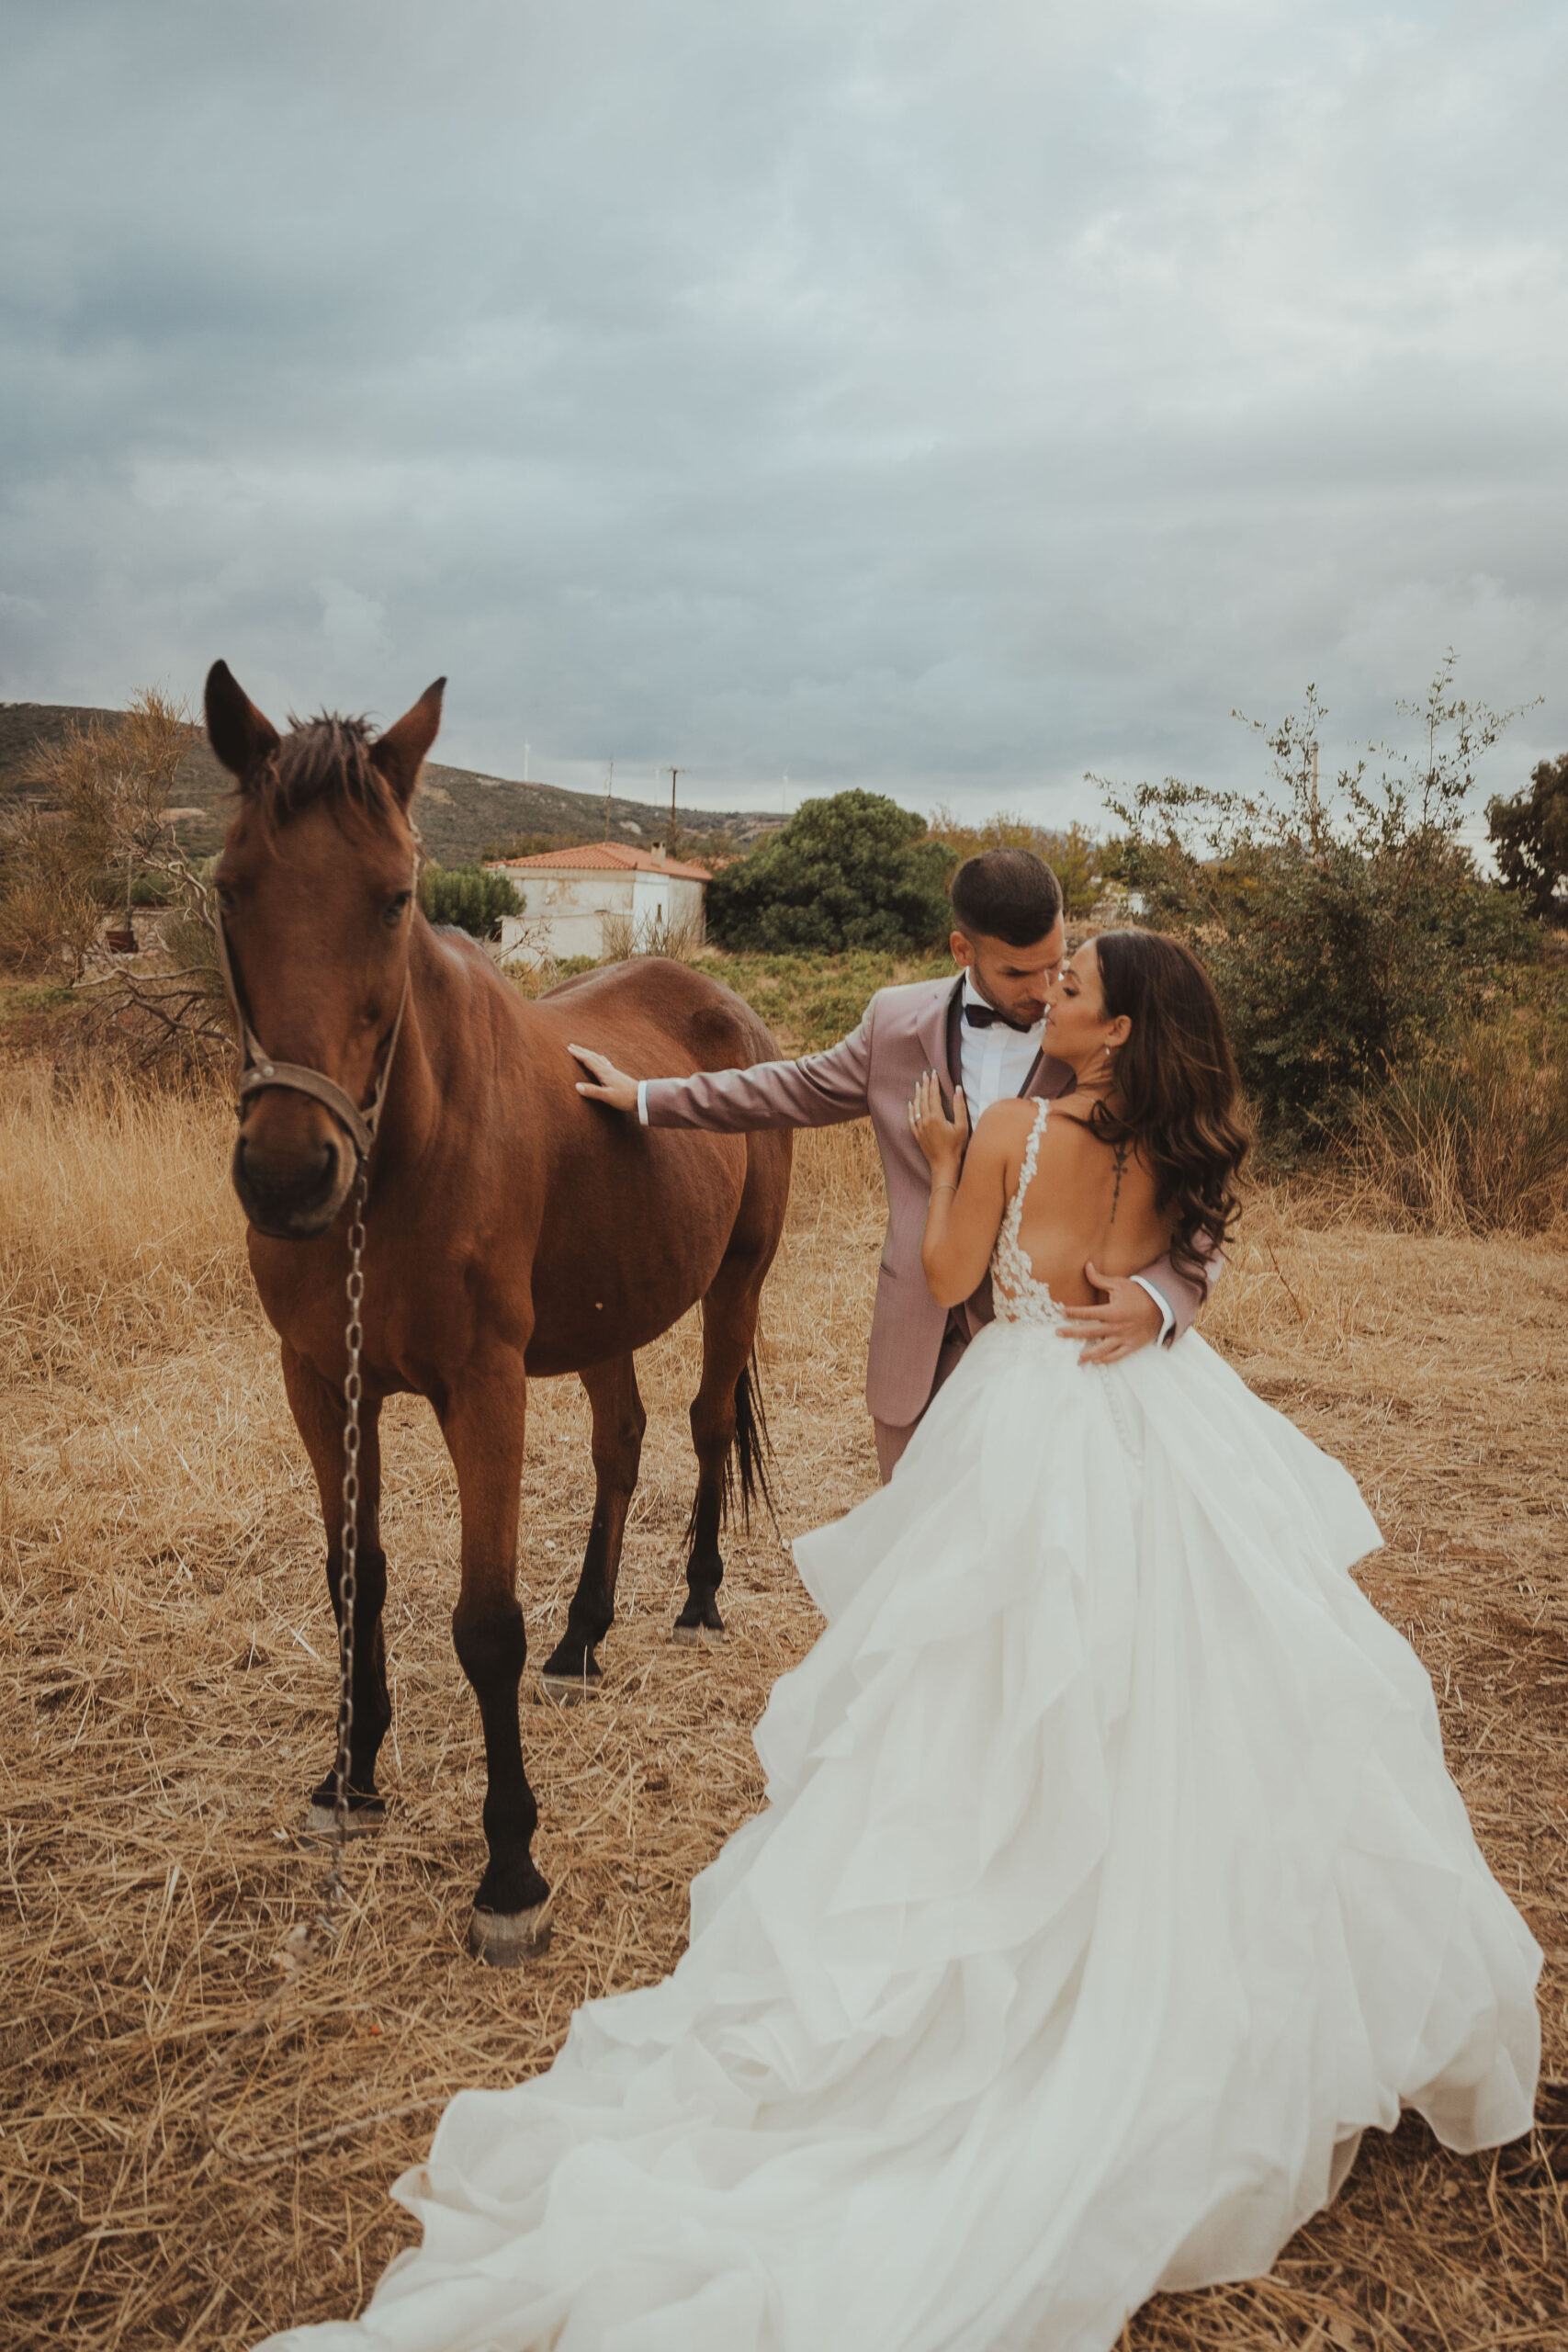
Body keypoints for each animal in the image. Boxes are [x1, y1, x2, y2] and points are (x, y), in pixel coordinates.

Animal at [204, 663, 793, 1964]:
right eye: (229, 887)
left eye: (396, 898)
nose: (289, 1175)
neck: (403, 1154)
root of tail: (724, 1004)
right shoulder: (321, 1381)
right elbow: (355, 1576)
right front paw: (351, 1776)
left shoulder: (483, 1387)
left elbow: (483, 1624)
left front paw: (511, 1869)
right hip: (606, 1313)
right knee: (622, 1443)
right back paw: (586, 1637)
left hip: (734, 1283)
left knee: (704, 1428)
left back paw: (697, 1599)